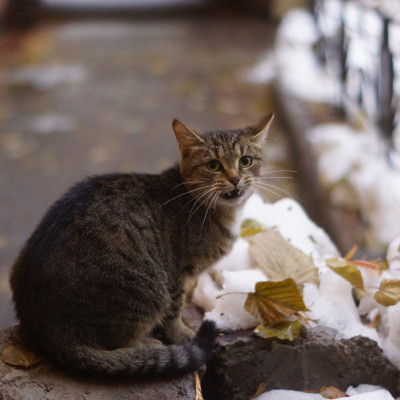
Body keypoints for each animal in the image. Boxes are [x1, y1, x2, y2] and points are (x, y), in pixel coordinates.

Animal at [9, 112, 274, 378]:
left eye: (245, 161)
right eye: (213, 165)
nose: (235, 178)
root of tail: (49, 331)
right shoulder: (178, 274)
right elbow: (174, 312)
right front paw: (183, 336)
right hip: (147, 292)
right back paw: (148, 344)